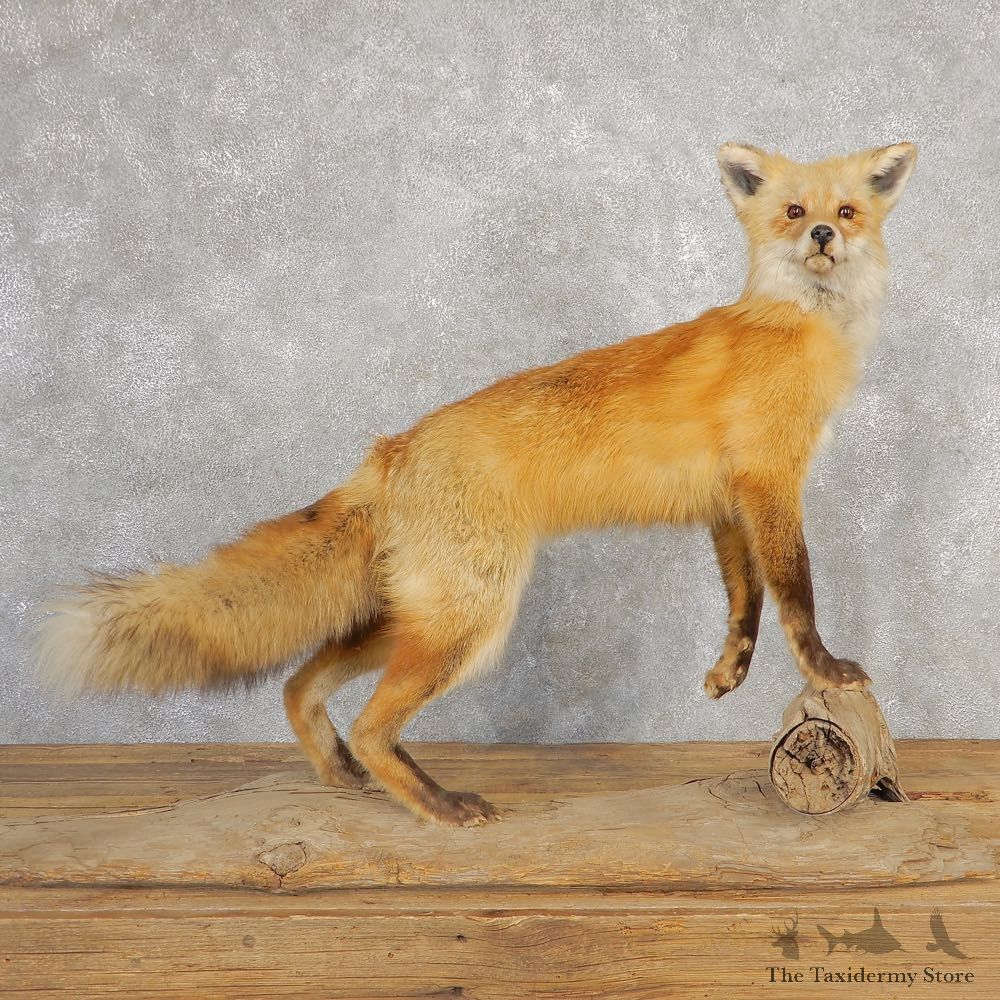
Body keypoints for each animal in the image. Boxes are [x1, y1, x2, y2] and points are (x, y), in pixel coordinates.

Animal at [37, 141, 917, 827]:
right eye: (793, 210)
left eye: (847, 209)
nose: (824, 234)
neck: (799, 328)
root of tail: (394, 448)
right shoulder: (769, 485)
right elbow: (797, 590)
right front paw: (827, 669)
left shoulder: (730, 504)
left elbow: (746, 600)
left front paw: (731, 673)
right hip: (470, 616)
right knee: (370, 722)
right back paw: (437, 804)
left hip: (415, 612)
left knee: (299, 681)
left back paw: (339, 772)